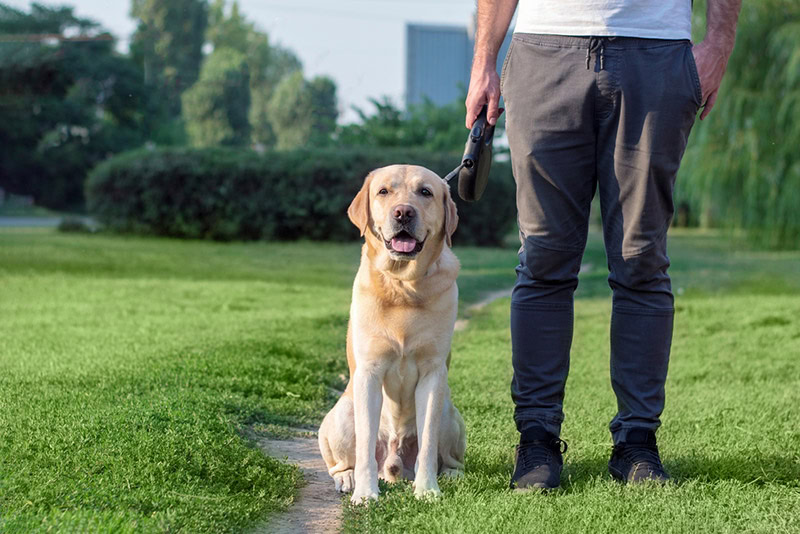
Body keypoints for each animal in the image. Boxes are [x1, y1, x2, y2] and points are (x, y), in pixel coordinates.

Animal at [318, 165, 466, 504]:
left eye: (425, 192)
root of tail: (394, 463)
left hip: (450, 413)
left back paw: (450, 475)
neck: (403, 286)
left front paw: (427, 489)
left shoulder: (433, 374)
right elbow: (364, 448)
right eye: (384, 191)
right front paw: (365, 493)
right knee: (344, 460)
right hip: (340, 415)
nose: (403, 212)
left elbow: (428, 443)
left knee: (448, 457)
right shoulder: (369, 372)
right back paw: (347, 478)